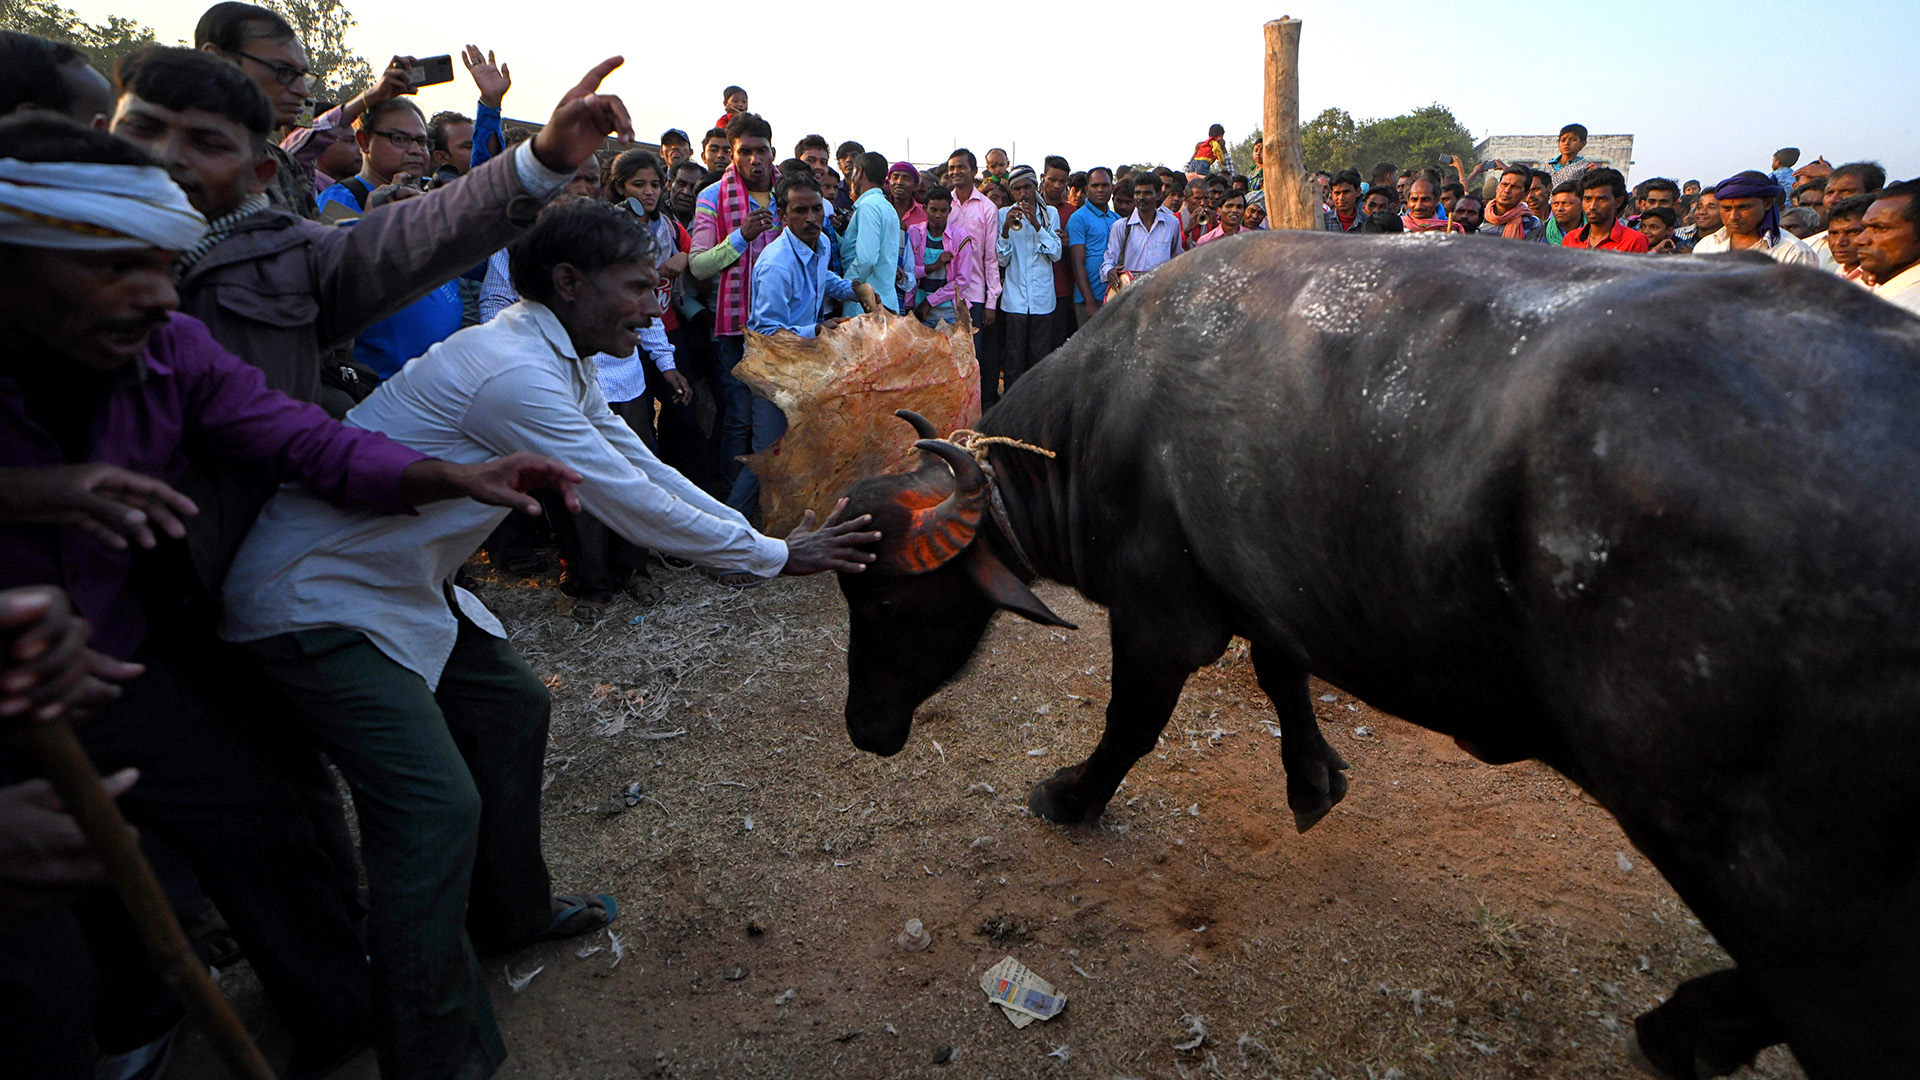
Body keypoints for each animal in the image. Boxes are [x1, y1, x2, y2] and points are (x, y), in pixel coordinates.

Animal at [833, 233, 1920, 1076]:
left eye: (881, 595)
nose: (864, 728)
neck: (1109, 417)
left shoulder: (1159, 615)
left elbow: (1132, 722)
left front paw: (1069, 795)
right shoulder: (1264, 587)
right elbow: (1281, 674)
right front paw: (1314, 777)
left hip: (1782, 884)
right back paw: (1685, 1029)